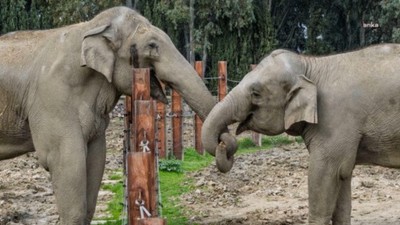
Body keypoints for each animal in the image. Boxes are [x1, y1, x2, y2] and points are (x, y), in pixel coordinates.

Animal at [202, 43, 400, 224]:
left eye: (256, 93)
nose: (223, 143)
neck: (310, 65)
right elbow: (343, 176)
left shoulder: (336, 120)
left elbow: (325, 173)